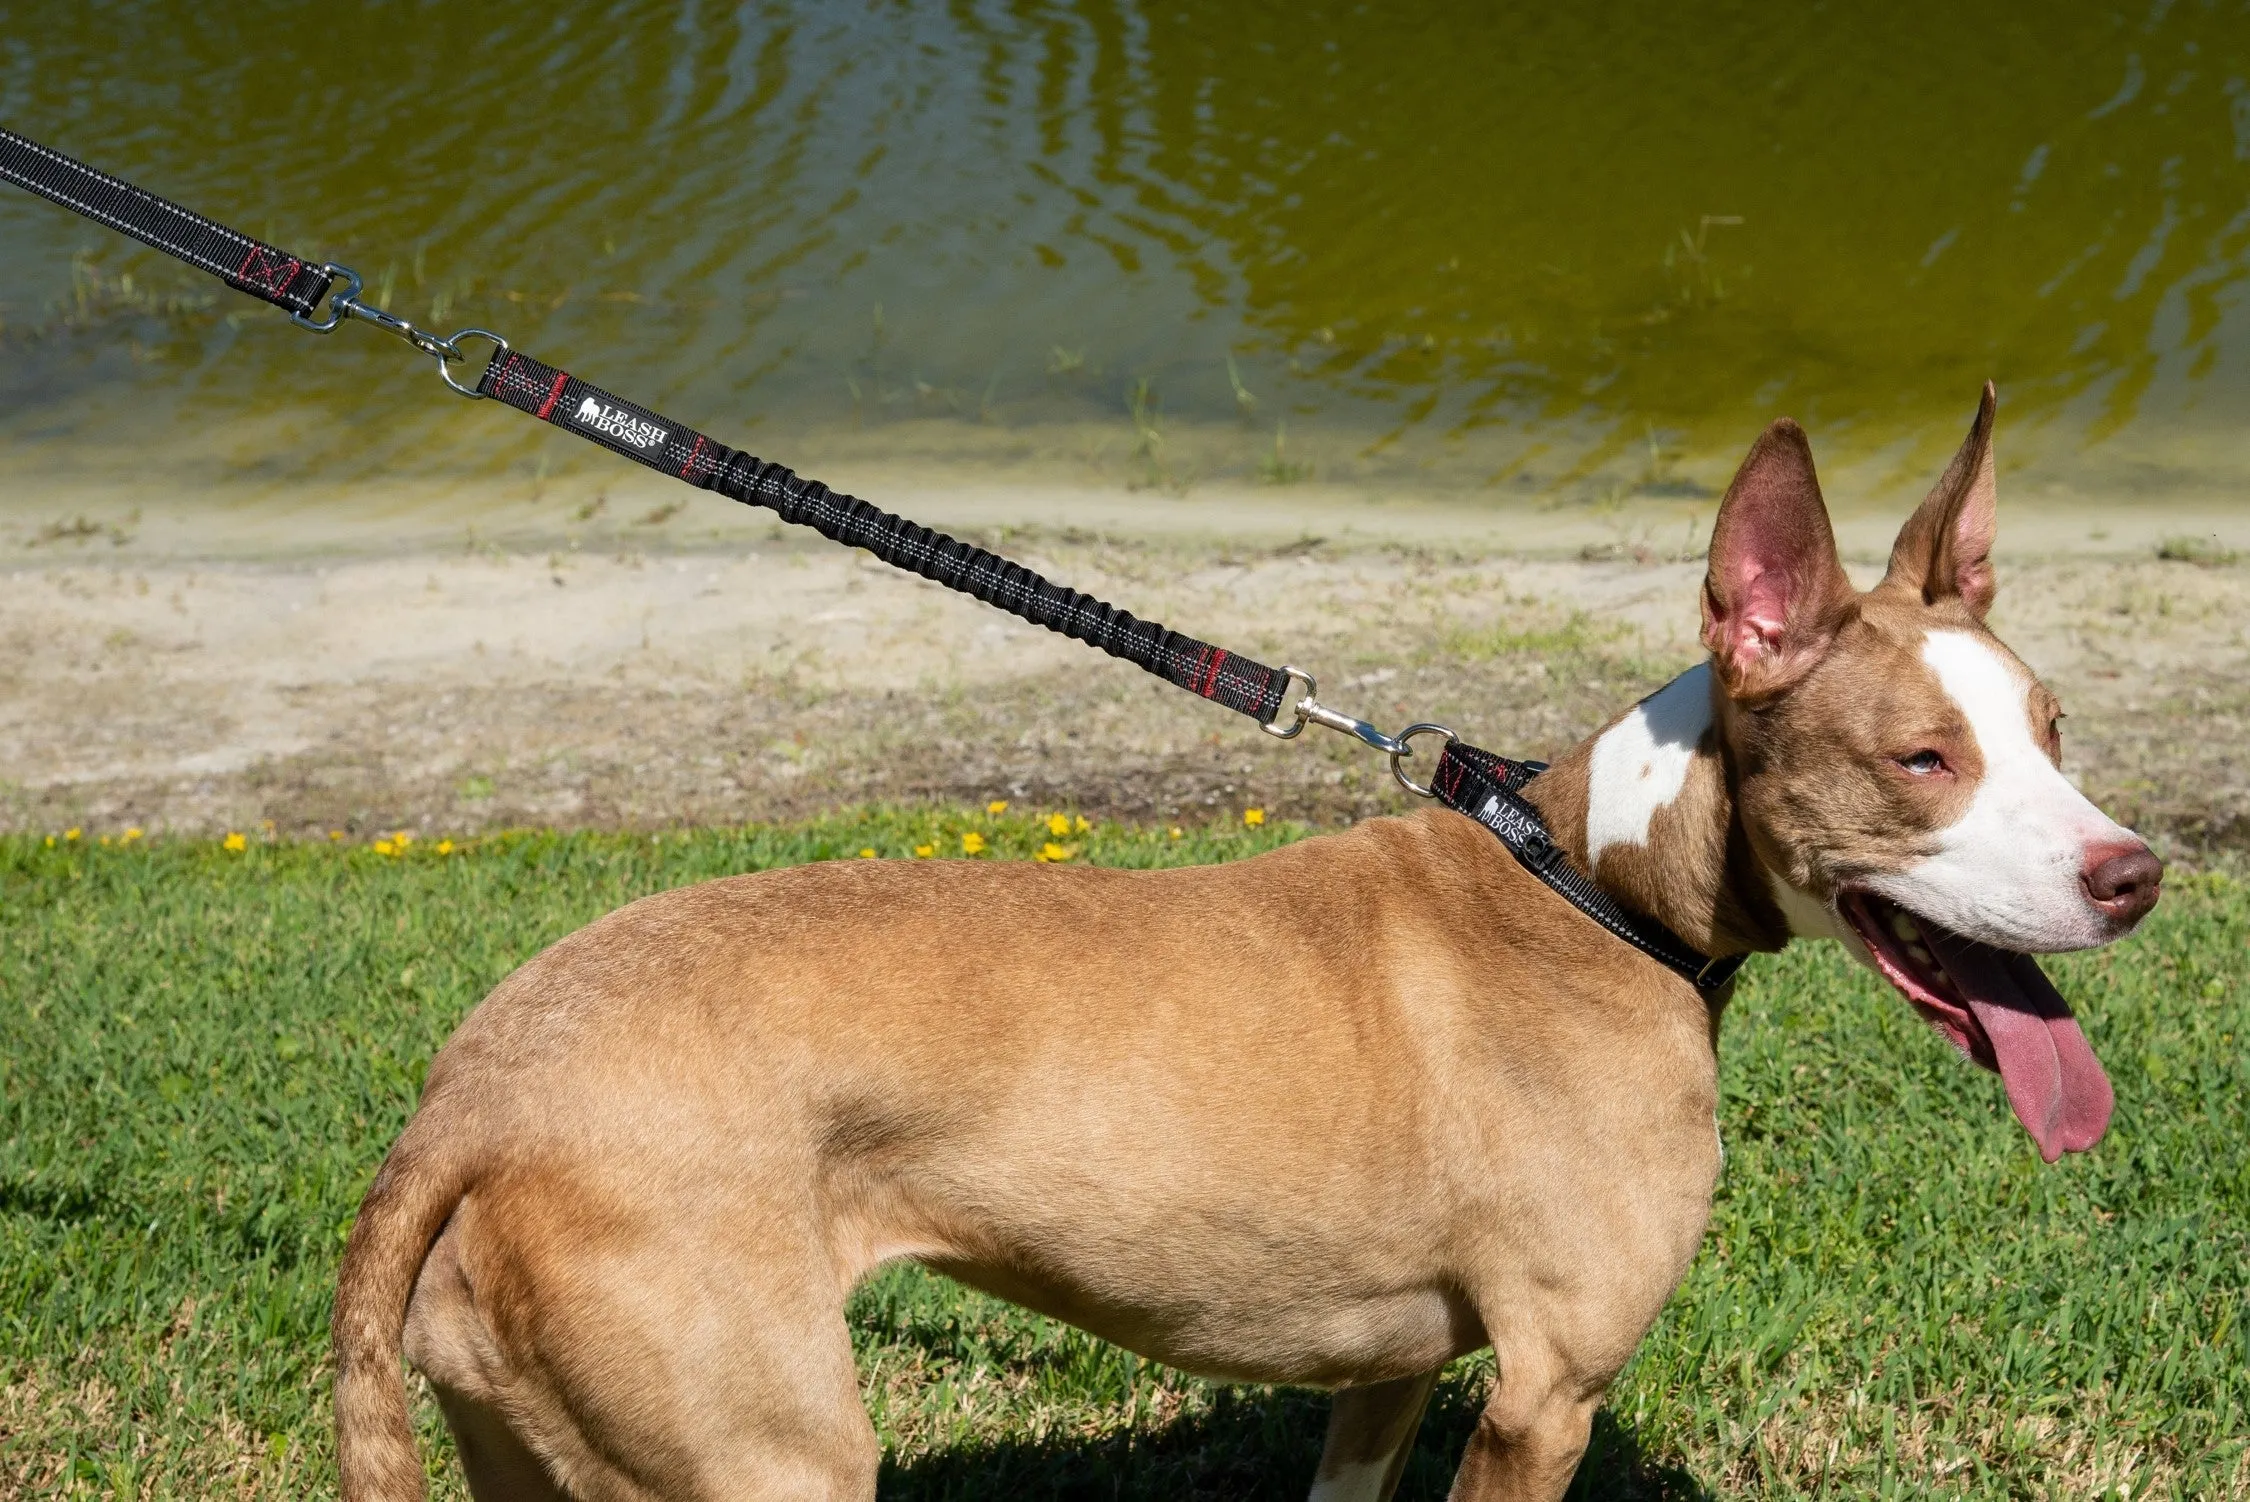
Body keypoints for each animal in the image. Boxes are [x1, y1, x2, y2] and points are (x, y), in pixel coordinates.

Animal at [328, 386, 2160, 1502]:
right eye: (1921, 759)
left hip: (533, 1425)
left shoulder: (1392, 1365)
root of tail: (468, 1097)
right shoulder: (1547, 1385)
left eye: (2053, 730)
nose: (2136, 874)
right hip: (766, 1452)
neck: (1594, 887)